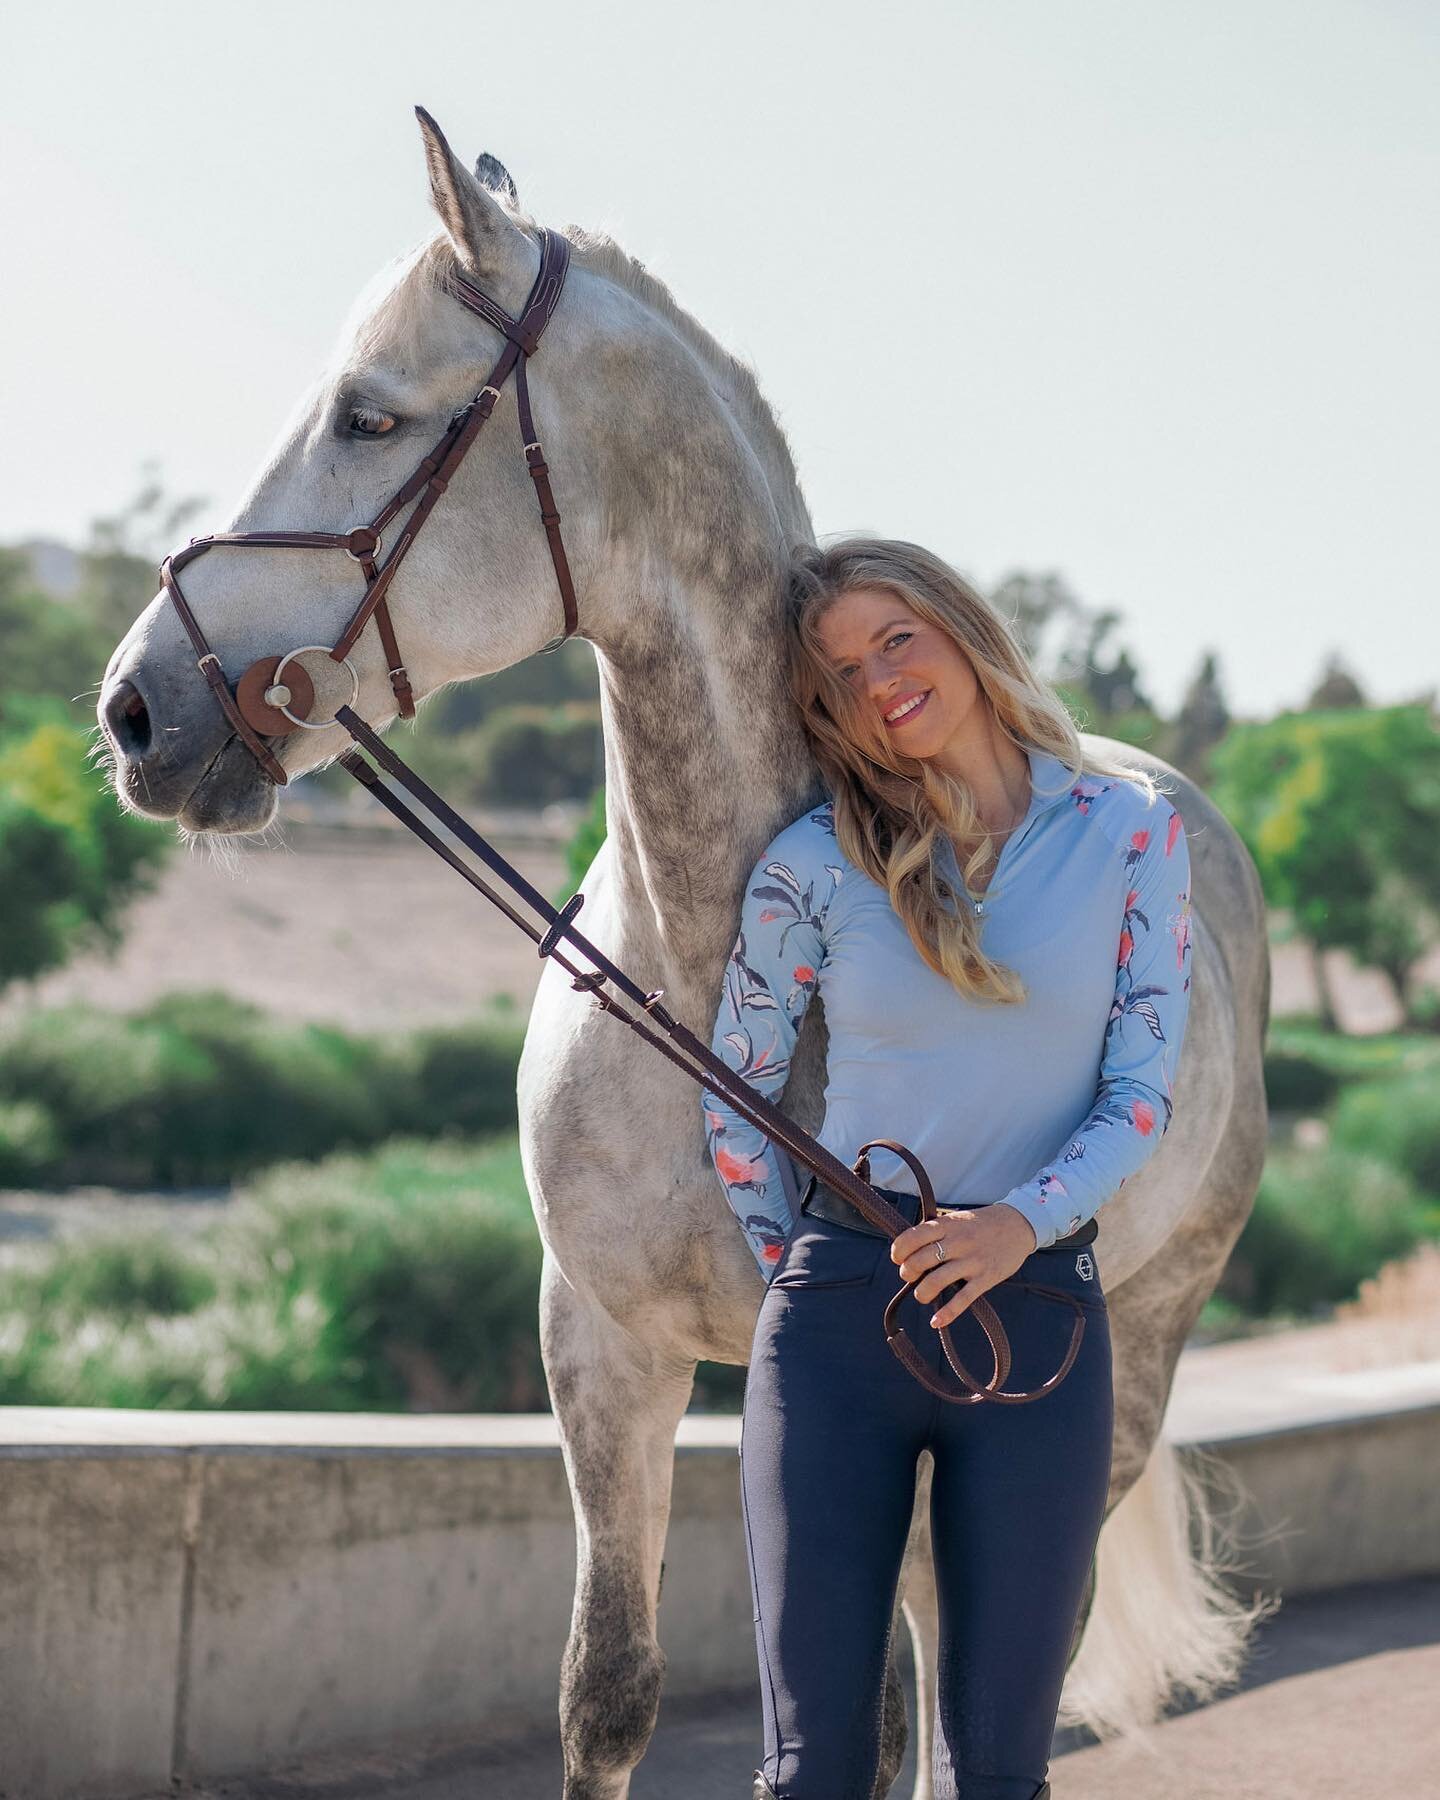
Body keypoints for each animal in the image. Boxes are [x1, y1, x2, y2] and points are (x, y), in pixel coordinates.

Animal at [101, 112, 1267, 1800]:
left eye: (370, 414)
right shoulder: (607, 1351)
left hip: (1134, 1355)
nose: (139, 708)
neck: (707, 975)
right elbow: (615, 1689)